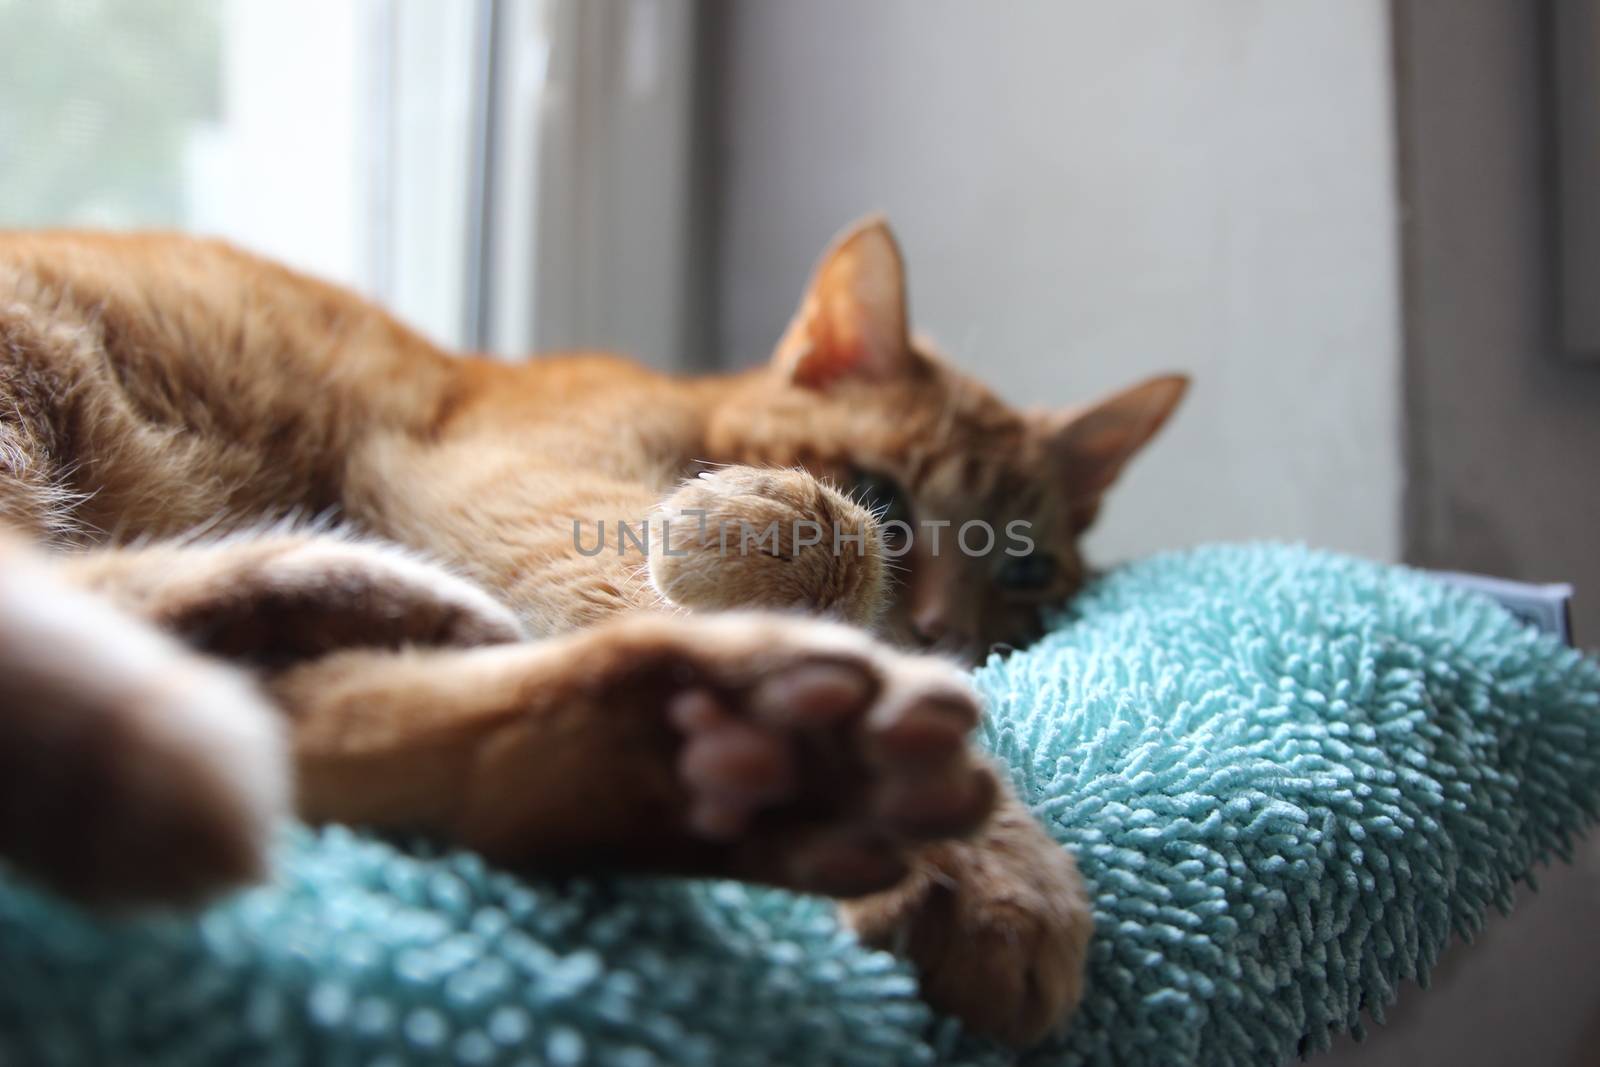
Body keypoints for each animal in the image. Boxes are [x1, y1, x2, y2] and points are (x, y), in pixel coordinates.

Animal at [0, 217, 1177, 1043]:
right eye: (886, 494)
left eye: (1023, 567)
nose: (944, 631)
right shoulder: (503, 475)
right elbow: (782, 557)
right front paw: (985, 855)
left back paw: (737, 759)